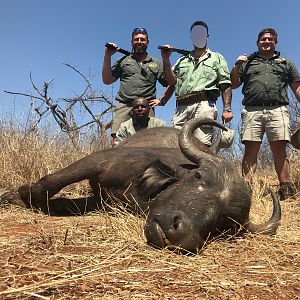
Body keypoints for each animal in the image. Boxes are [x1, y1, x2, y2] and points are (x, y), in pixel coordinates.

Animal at [1, 118, 280, 254]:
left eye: (225, 223)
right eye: (198, 176)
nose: (180, 232)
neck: (143, 192)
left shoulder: (99, 202)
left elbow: (59, 203)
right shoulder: (100, 161)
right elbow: (49, 184)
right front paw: (16, 195)